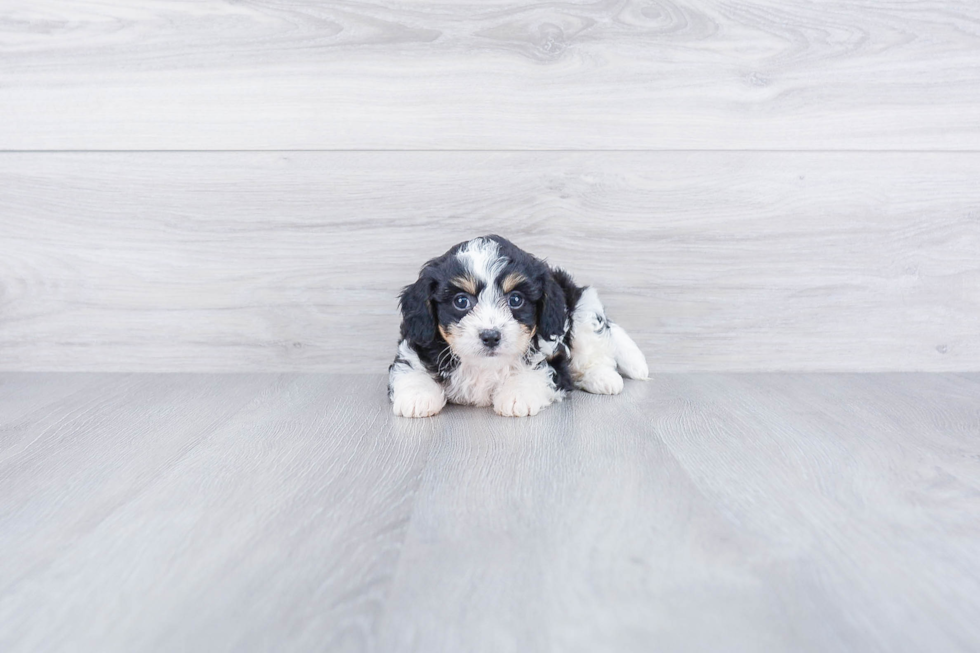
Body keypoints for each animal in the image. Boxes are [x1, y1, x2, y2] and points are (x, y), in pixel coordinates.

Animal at [386, 236, 648, 418]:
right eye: (461, 301)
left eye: (515, 300)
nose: (491, 336)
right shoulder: (417, 342)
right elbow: (409, 367)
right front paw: (417, 396)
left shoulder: (552, 357)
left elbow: (536, 372)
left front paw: (517, 394)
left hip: (584, 310)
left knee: (593, 349)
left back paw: (603, 378)